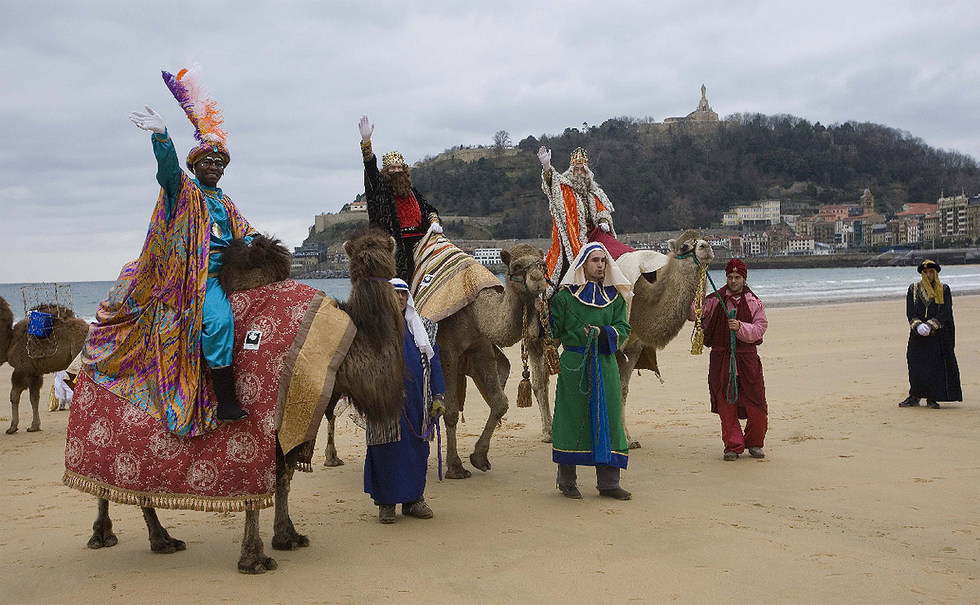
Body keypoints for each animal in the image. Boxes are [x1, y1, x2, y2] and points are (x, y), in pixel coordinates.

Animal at [2, 298, 88, 432]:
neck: (10, 341)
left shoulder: (22, 369)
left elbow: (14, 396)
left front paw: (12, 428)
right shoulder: (34, 372)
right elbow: (34, 397)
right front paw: (34, 426)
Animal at [78, 230, 408, 572]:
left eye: (380, 251)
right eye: (368, 252)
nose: (379, 265)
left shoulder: (291, 420)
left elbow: (283, 479)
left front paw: (287, 537)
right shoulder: (262, 421)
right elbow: (259, 488)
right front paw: (254, 558)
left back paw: (162, 539)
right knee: (103, 478)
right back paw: (103, 534)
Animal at [528, 231, 712, 448]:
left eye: (705, 240)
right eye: (685, 246)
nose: (706, 247)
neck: (644, 302)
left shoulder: (634, 346)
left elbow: (622, 389)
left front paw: (629, 439)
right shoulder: (614, 345)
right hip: (539, 334)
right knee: (539, 378)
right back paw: (548, 432)